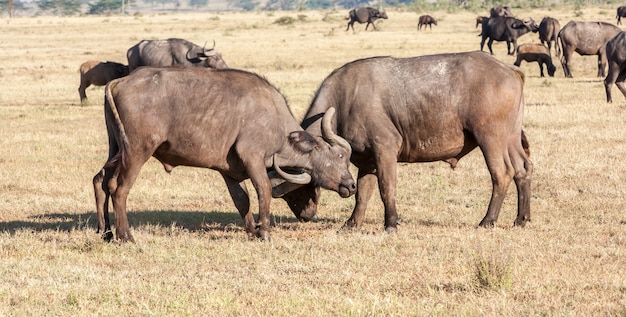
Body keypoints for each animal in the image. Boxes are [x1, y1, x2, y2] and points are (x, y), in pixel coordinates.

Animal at [92, 66, 356, 242]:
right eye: (340, 158)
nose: (352, 185)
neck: (276, 123)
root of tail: (122, 80)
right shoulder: (253, 158)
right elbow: (263, 190)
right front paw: (265, 231)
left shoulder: (229, 172)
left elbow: (242, 200)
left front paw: (252, 230)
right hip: (137, 151)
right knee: (119, 188)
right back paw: (125, 235)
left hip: (117, 149)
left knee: (100, 180)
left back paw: (106, 232)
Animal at [282, 51, 532, 232]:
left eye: (298, 187)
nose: (305, 215)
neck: (346, 99)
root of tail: (509, 69)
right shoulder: (367, 161)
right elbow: (363, 193)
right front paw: (351, 224)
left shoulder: (385, 150)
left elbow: (386, 187)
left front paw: (391, 223)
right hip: (511, 138)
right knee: (523, 168)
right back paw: (521, 218)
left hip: (490, 138)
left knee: (502, 173)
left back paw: (487, 220)